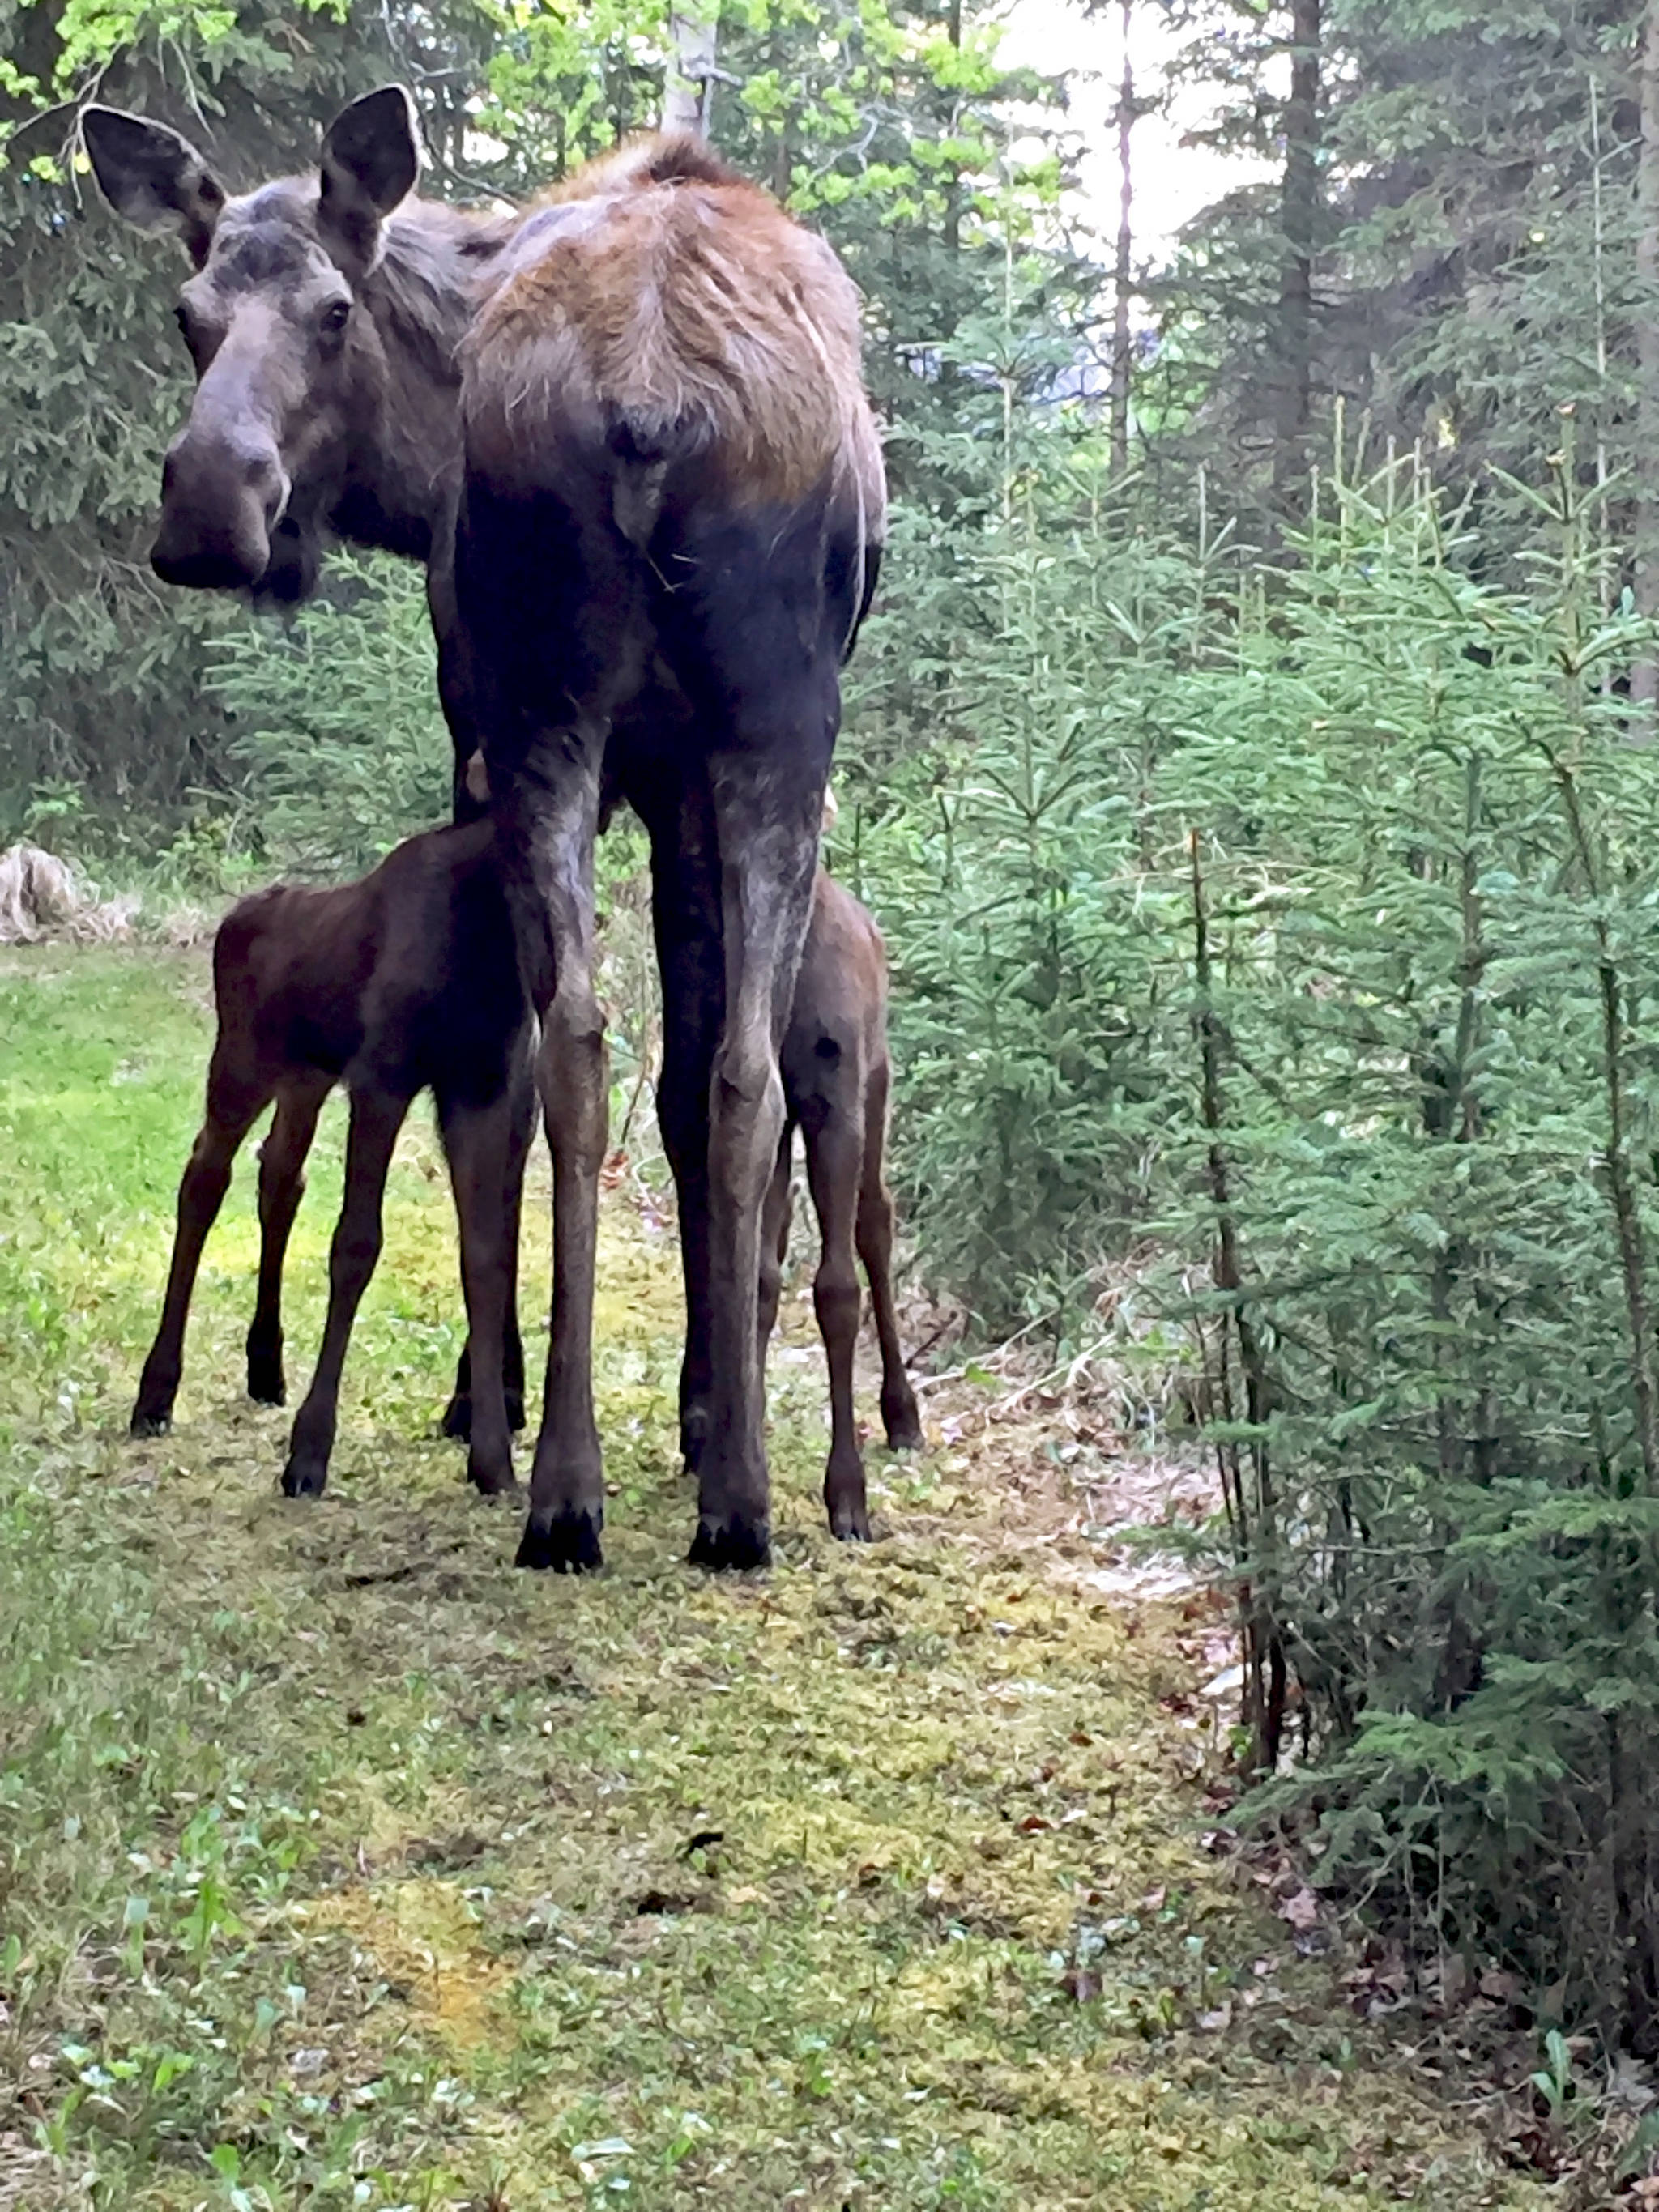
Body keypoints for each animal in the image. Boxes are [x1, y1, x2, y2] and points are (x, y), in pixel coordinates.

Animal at [81, 90, 885, 1575]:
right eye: (188, 313)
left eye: (333, 311)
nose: (212, 505)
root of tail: (649, 388)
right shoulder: (629, 763)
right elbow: (643, 1083)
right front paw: (663, 1406)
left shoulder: (551, 741)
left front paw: (615, 1407)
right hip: (714, 730)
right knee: (652, 1054)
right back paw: (644, 1487)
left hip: (602, 721)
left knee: (614, 1049)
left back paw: (610, 1479)